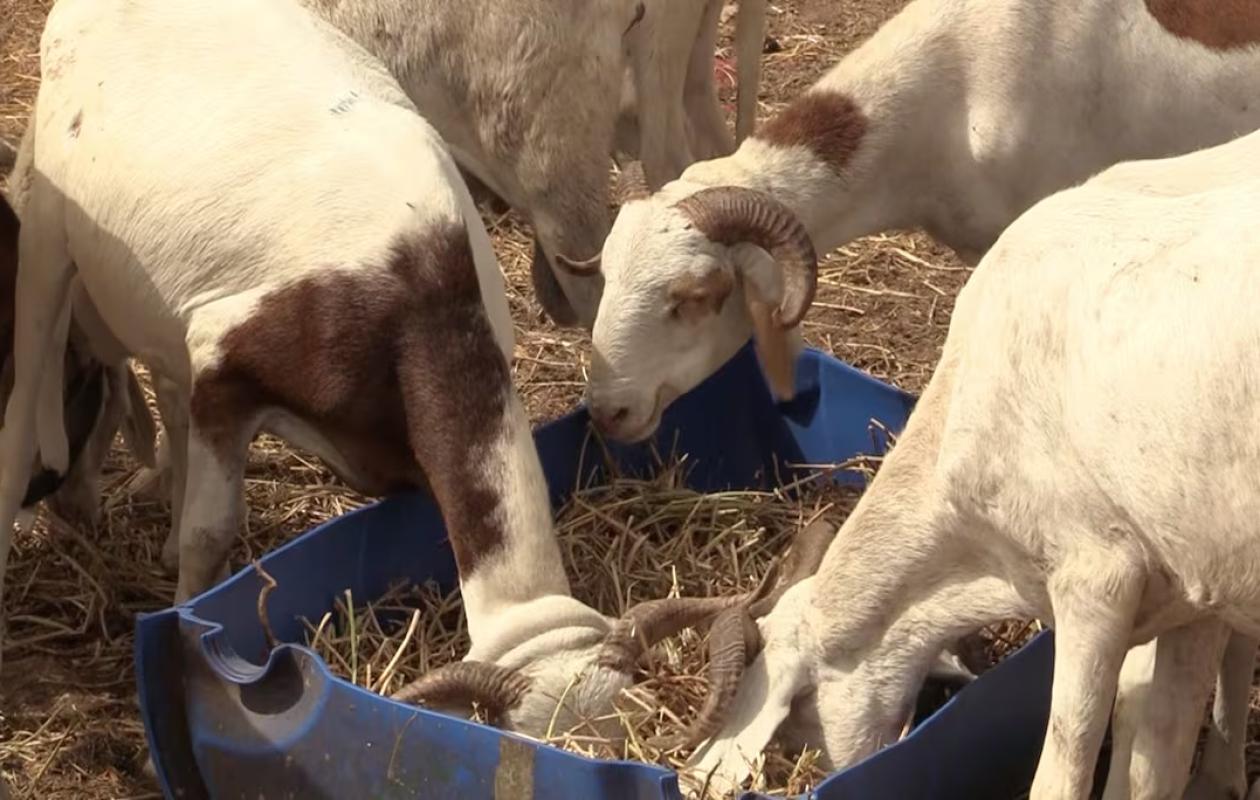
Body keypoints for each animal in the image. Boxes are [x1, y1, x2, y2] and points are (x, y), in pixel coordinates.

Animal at [670, 125, 1260, 799]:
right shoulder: (1197, 596)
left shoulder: (1096, 579)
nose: (811, 770)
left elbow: (1064, 767)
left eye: (796, 716)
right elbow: (1158, 754)